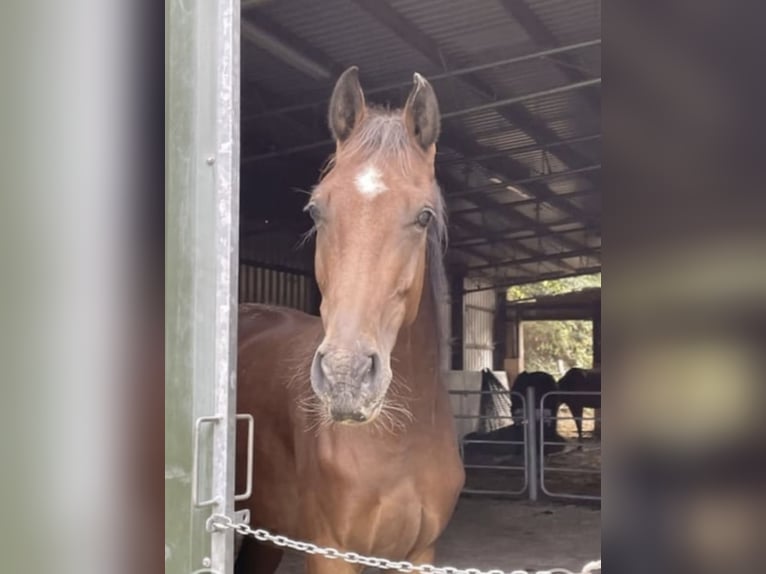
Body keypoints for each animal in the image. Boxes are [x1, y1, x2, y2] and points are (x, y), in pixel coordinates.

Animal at [234, 67, 465, 573]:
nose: (346, 376)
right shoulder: (330, 551)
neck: (399, 443)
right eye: (316, 210)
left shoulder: (420, 554)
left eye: (424, 216)